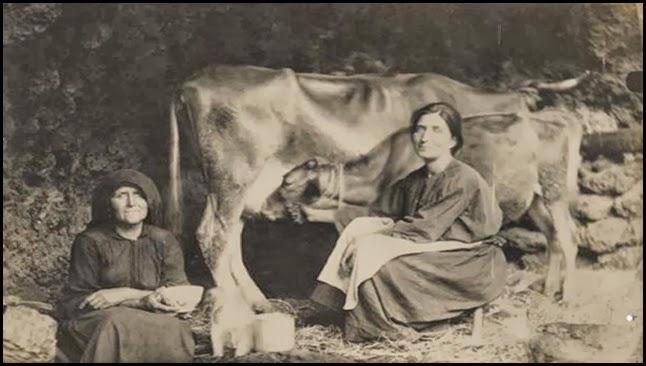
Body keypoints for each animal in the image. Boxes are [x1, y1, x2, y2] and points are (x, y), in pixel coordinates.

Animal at [260, 111, 584, 304]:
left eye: (286, 181)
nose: (263, 206)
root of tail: (559, 120)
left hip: (555, 189)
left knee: (569, 238)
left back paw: (567, 295)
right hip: (535, 198)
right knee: (553, 237)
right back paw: (548, 290)